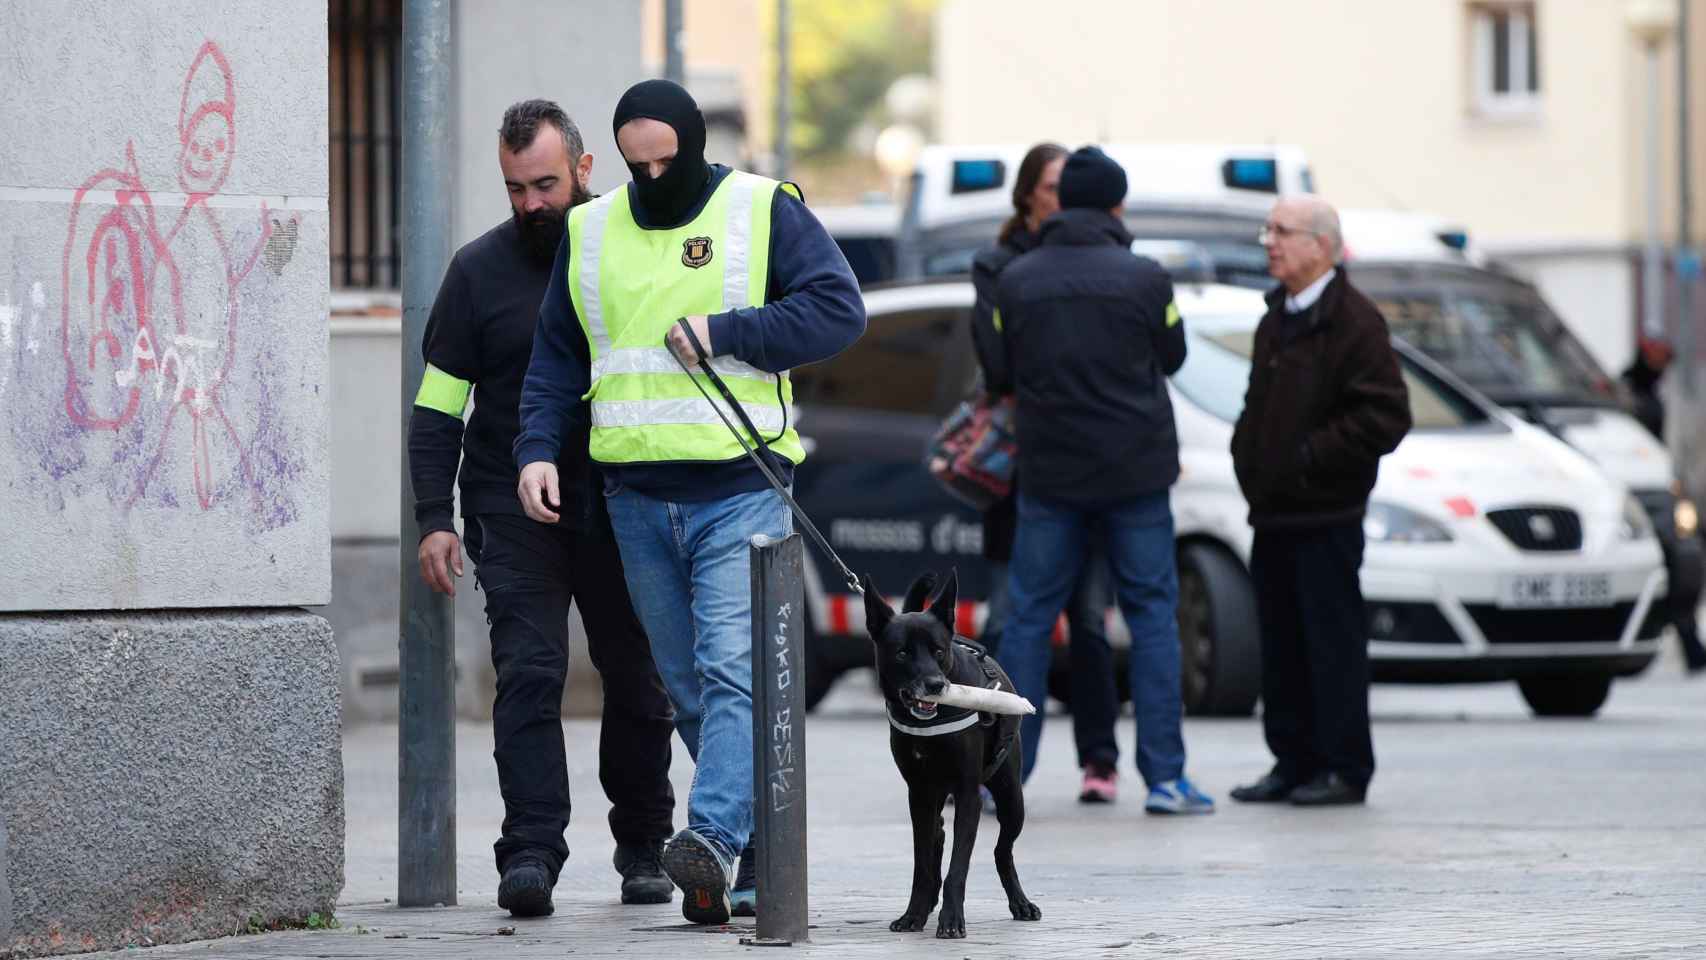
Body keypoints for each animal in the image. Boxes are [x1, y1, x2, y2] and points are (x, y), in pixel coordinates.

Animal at [866, 569, 1037, 941]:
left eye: (939, 651)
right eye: (902, 653)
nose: (934, 684)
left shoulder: (968, 793)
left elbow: (958, 865)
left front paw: (952, 920)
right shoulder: (919, 794)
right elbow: (922, 863)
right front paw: (913, 914)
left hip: (1011, 798)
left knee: (1002, 851)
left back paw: (1020, 903)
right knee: (938, 838)